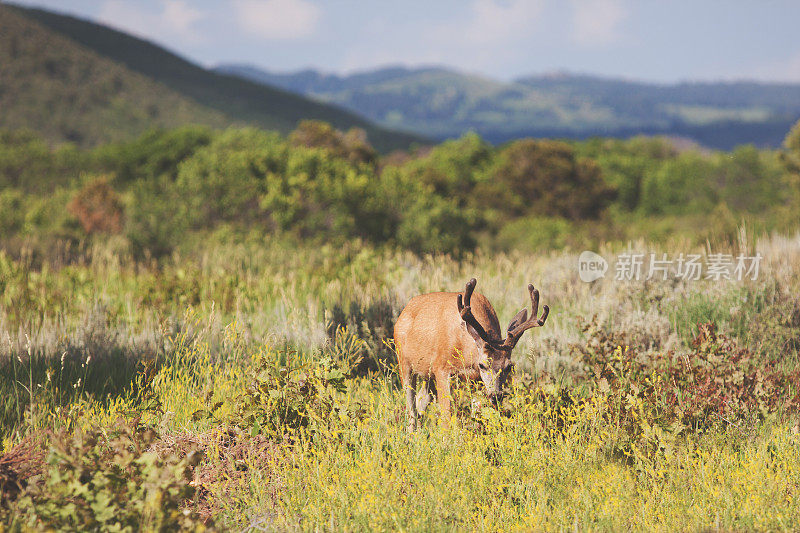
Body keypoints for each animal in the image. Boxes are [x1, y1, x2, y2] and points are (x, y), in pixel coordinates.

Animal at [394, 278, 552, 428]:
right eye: (482, 365)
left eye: (509, 366)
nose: (496, 396)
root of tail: (403, 311)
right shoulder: (441, 367)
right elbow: (446, 415)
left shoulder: (475, 379)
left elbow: (478, 414)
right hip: (403, 362)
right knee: (411, 407)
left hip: (428, 374)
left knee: (421, 402)